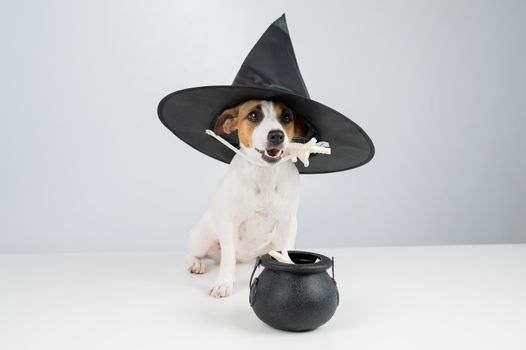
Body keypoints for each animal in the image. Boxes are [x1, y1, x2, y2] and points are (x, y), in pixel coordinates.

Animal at [187, 99, 308, 298]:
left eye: (286, 117)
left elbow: (286, 251)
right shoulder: (229, 223)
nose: (277, 135)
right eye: (253, 115)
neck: (265, 173)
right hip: (201, 238)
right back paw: (196, 263)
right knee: (192, 252)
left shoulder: (288, 222)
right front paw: (224, 282)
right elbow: (228, 257)